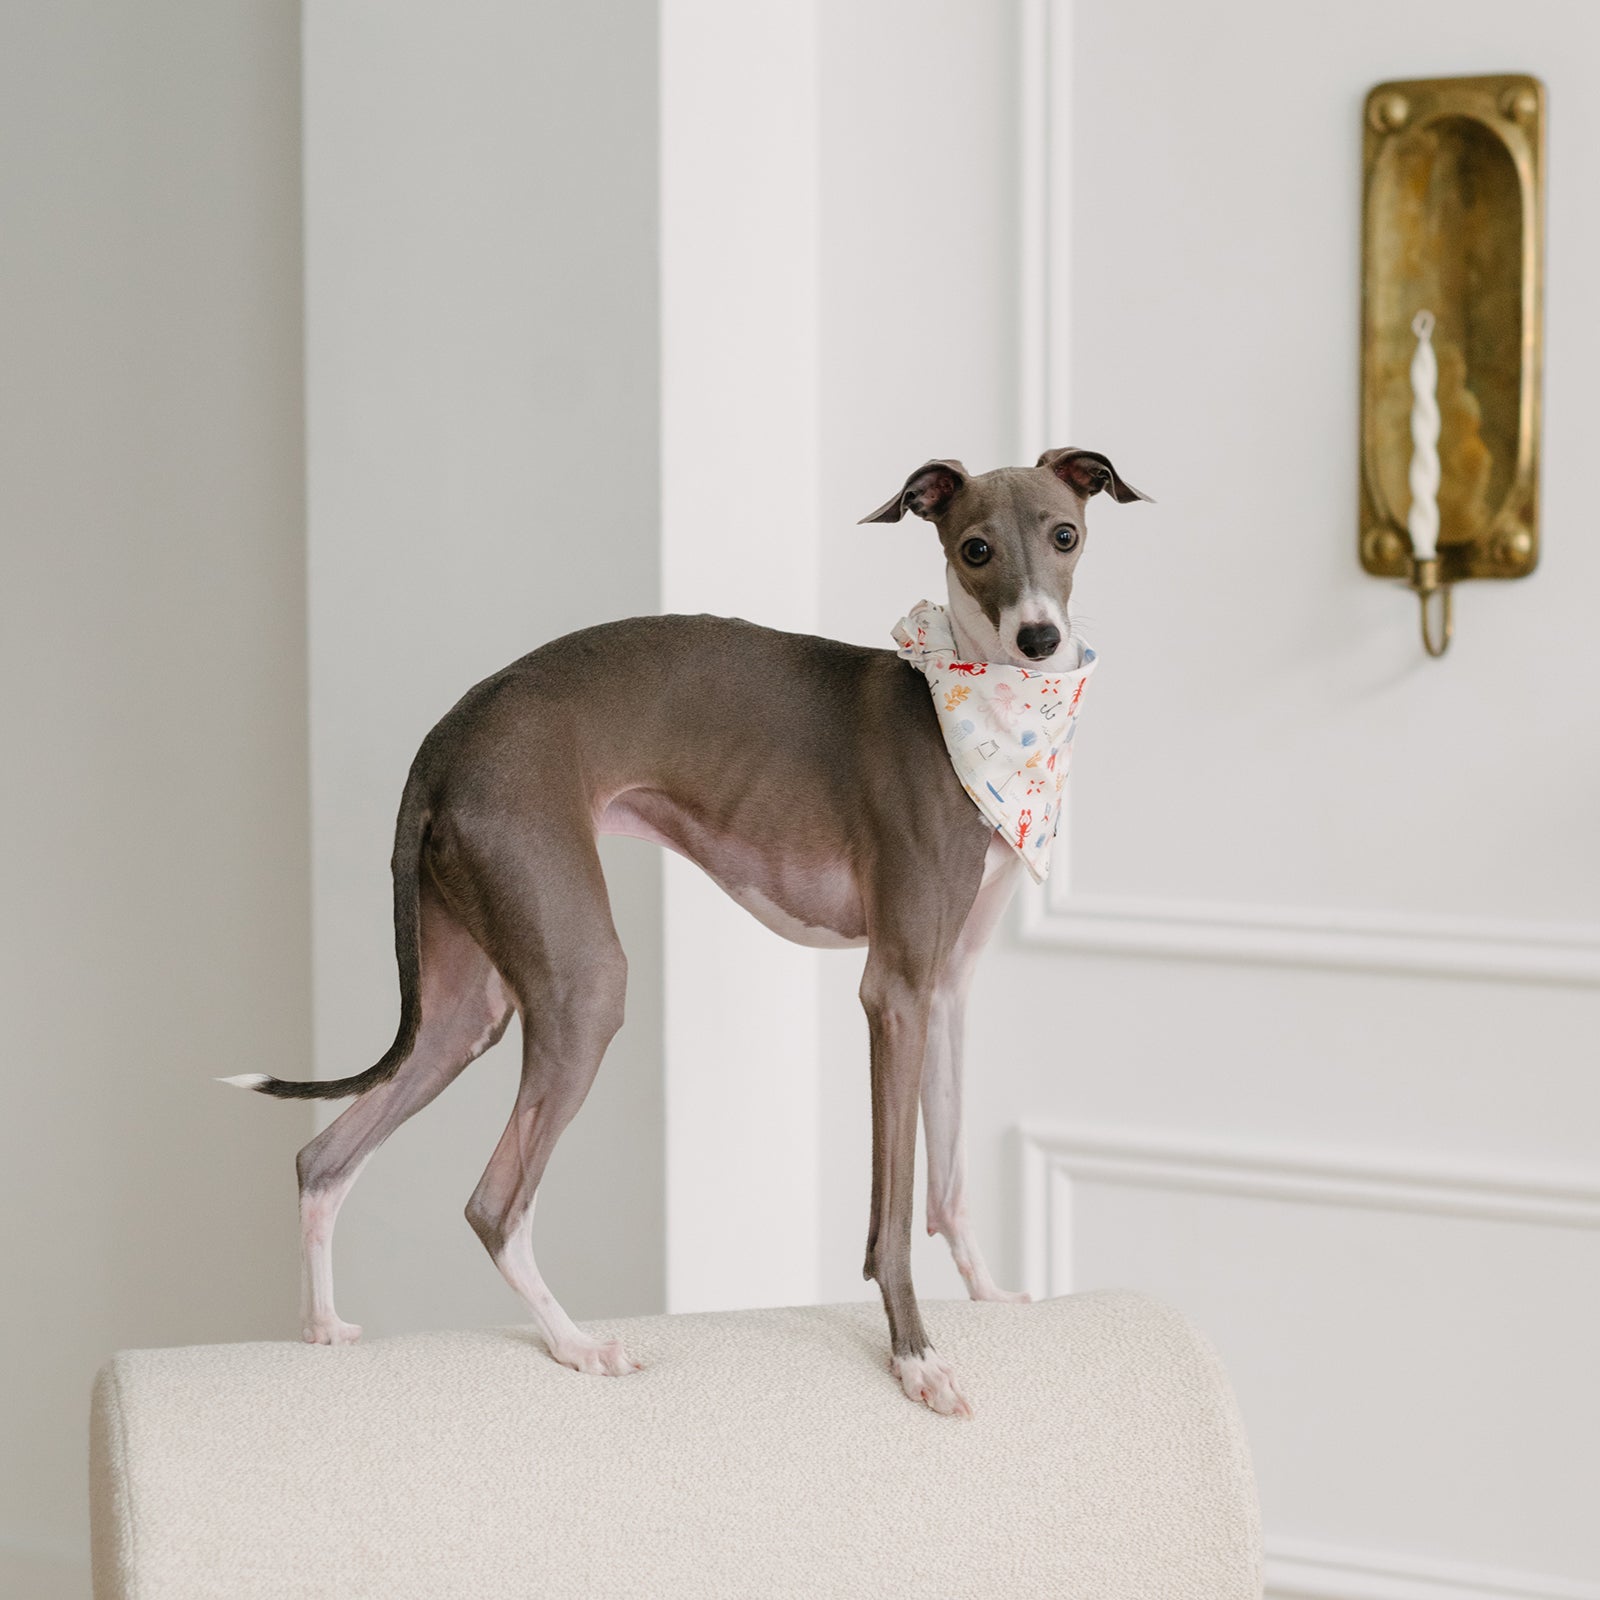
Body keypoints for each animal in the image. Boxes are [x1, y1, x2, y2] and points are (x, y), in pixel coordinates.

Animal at [228, 444, 1152, 1408]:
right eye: (975, 548)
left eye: (1065, 535)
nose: (1039, 640)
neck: (967, 714)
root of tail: (444, 740)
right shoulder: (893, 990)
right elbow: (892, 1212)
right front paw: (917, 1358)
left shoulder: (946, 989)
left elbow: (949, 1178)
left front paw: (989, 1298)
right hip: (583, 979)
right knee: (492, 1203)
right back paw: (577, 1345)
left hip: (463, 1009)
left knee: (325, 1157)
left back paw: (322, 1330)